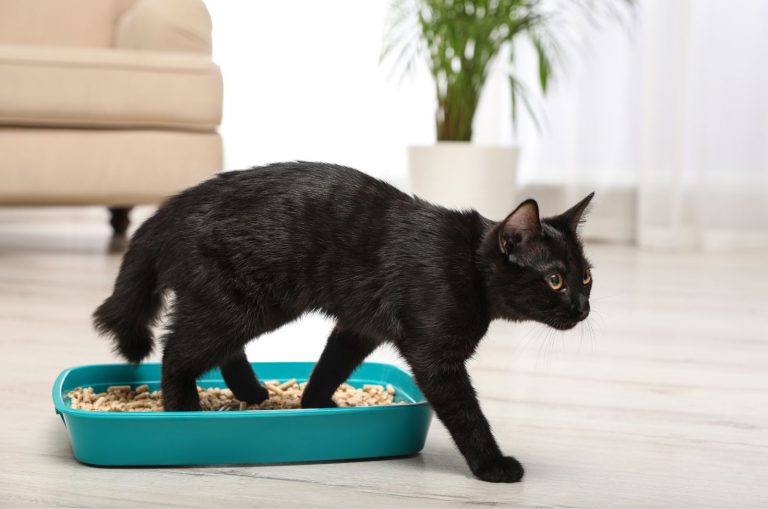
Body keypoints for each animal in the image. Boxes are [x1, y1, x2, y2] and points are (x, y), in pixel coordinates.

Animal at [91, 162, 592, 480]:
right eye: (554, 280)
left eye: (586, 277)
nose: (582, 308)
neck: (467, 264)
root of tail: (167, 210)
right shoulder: (436, 359)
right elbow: (469, 415)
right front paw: (492, 466)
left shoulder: (359, 327)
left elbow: (330, 366)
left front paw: (315, 404)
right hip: (241, 305)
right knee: (176, 352)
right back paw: (185, 411)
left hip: (238, 307)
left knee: (216, 349)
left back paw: (251, 393)